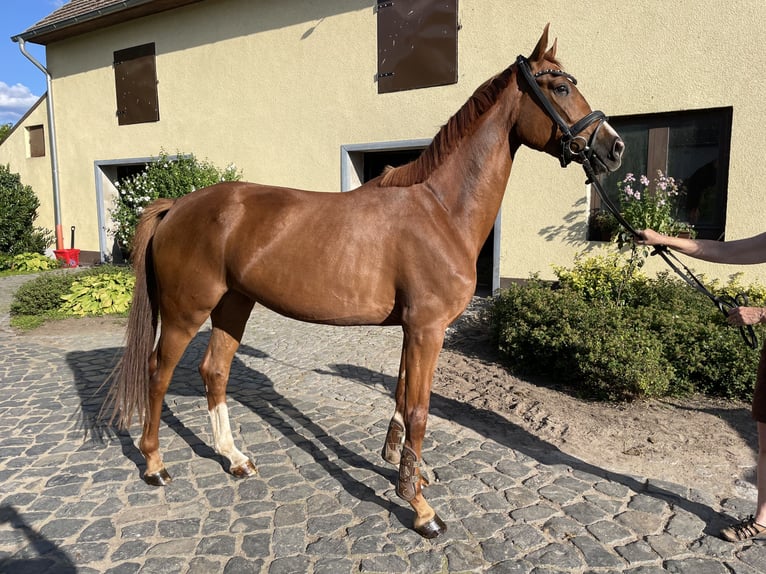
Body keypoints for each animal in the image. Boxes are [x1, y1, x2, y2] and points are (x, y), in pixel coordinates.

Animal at [106, 25, 624, 539]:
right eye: (560, 87)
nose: (613, 147)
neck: (440, 210)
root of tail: (177, 205)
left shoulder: (414, 329)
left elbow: (400, 395)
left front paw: (402, 468)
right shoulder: (427, 329)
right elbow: (418, 409)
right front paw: (420, 508)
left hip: (234, 303)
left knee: (214, 371)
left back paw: (234, 458)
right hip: (187, 310)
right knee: (159, 372)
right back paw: (154, 464)